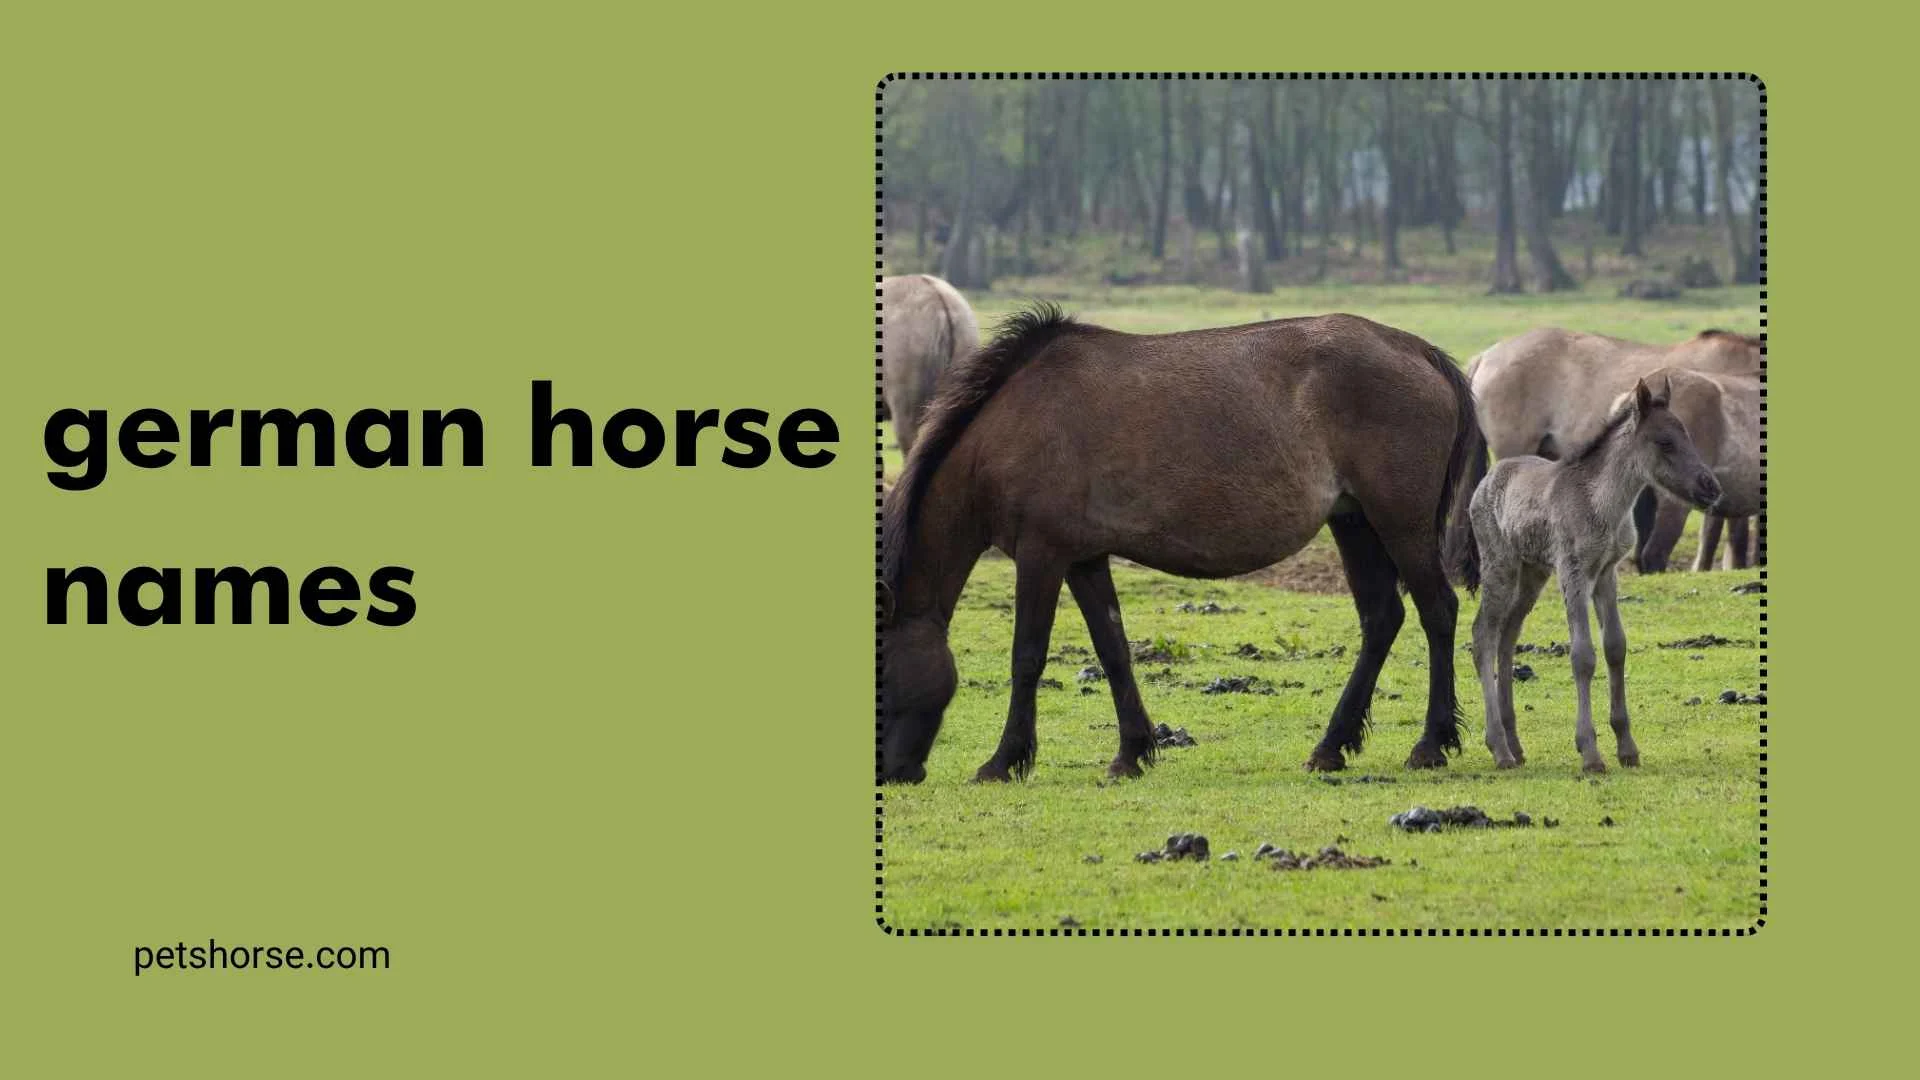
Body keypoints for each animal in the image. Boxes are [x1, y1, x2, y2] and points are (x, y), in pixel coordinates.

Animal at [879, 304, 1486, 784]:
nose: (892, 772)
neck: (1012, 425)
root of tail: (1419, 351)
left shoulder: (1041, 555)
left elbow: (1027, 656)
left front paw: (1004, 761)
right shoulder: (1084, 559)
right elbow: (1113, 650)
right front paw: (1132, 752)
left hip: (1400, 524)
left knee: (1438, 611)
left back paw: (1430, 745)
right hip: (1354, 523)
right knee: (1381, 618)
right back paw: (1331, 747)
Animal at [1460, 376, 1722, 773]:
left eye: (1688, 435)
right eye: (1664, 442)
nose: (1711, 487)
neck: (1604, 504)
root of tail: (1486, 479)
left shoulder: (1606, 572)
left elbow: (1615, 646)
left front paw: (1627, 747)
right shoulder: (1574, 571)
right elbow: (1583, 655)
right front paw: (1590, 752)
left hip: (1533, 573)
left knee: (1507, 635)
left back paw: (1515, 744)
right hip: (1500, 566)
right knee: (1483, 635)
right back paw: (1500, 748)